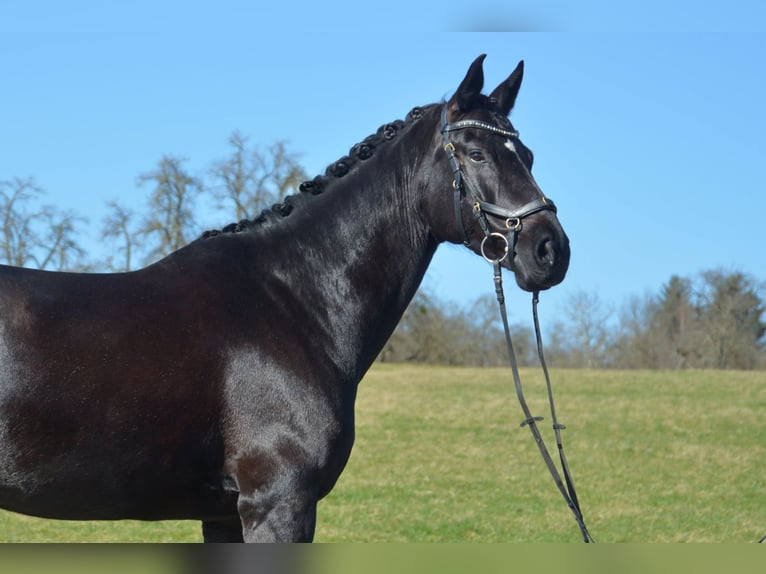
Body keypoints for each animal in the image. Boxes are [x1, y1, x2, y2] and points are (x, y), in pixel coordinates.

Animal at [0, 55, 569, 542]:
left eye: (528, 155)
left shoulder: (224, 515)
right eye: (476, 153)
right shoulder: (278, 502)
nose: (551, 250)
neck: (293, 300)